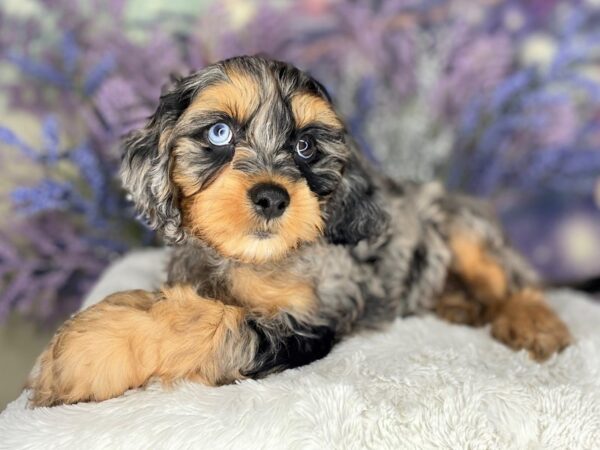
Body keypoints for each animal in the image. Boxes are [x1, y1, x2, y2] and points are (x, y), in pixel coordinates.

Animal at [28, 56, 572, 408]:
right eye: (220, 133)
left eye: (306, 145)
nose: (272, 197)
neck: (253, 260)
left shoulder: (311, 321)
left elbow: (216, 321)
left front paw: (86, 351)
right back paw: (458, 305)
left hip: (464, 230)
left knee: (512, 282)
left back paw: (533, 323)